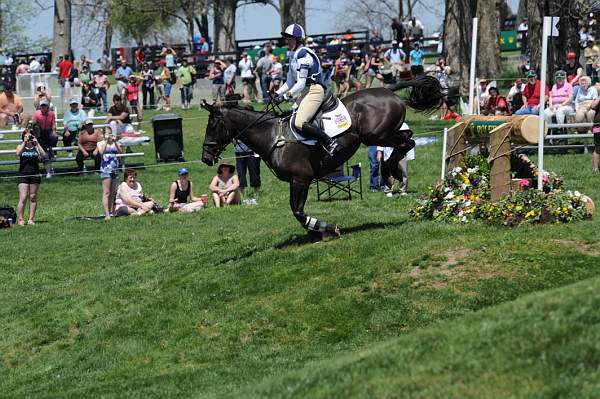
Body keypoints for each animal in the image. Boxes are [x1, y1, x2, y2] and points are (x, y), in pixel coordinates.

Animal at [202, 75, 446, 241]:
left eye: (212, 125)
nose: (205, 157)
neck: (271, 136)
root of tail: (388, 90)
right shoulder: (297, 180)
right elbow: (297, 210)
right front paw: (316, 231)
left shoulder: (301, 179)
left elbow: (298, 211)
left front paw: (327, 229)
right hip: (384, 134)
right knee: (407, 139)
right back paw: (391, 171)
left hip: (376, 135)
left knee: (406, 142)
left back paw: (388, 172)